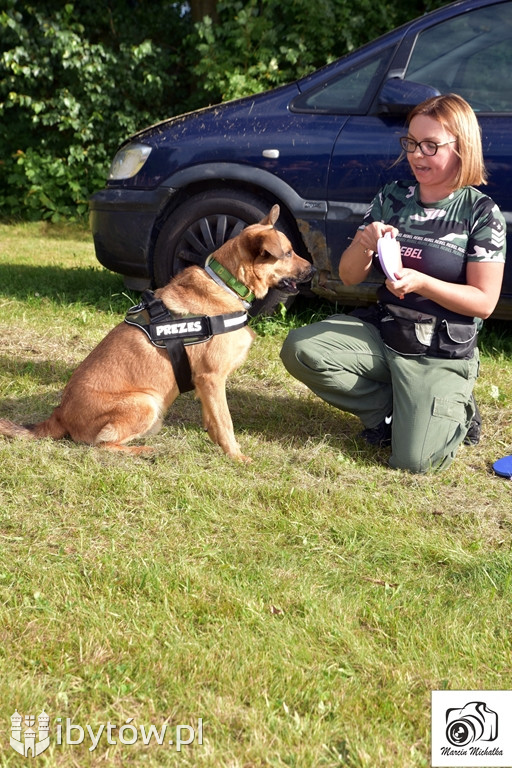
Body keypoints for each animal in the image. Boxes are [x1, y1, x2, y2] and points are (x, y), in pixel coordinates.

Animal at [0, 204, 314, 460]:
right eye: (288, 253)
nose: (313, 270)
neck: (226, 283)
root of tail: (59, 414)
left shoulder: (205, 384)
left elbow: (213, 419)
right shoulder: (212, 378)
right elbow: (225, 422)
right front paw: (236, 456)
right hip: (146, 402)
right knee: (102, 445)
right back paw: (142, 450)